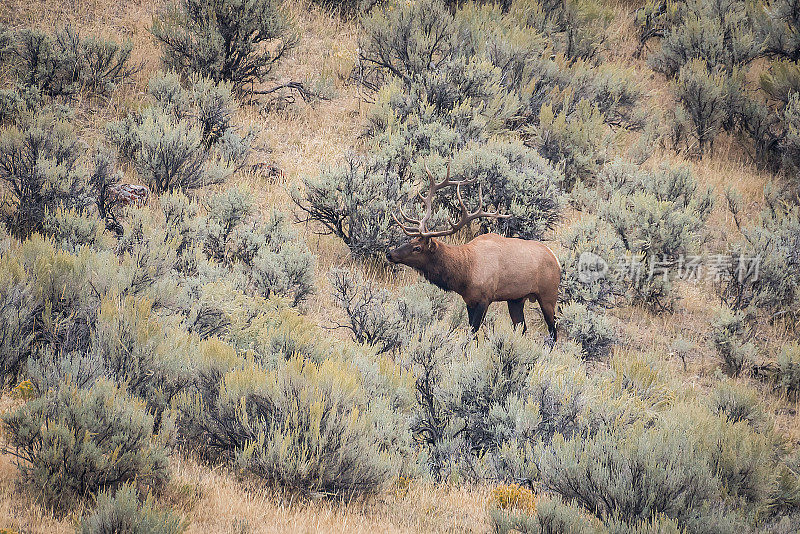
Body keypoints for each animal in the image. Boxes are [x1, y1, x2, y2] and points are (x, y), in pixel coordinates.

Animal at [384, 164, 560, 344]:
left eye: (418, 248)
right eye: (410, 240)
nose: (390, 254)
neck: (464, 274)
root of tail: (556, 258)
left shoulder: (485, 298)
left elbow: (473, 332)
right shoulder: (469, 300)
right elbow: (471, 332)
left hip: (548, 295)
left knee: (553, 330)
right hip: (516, 299)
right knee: (522, 328)